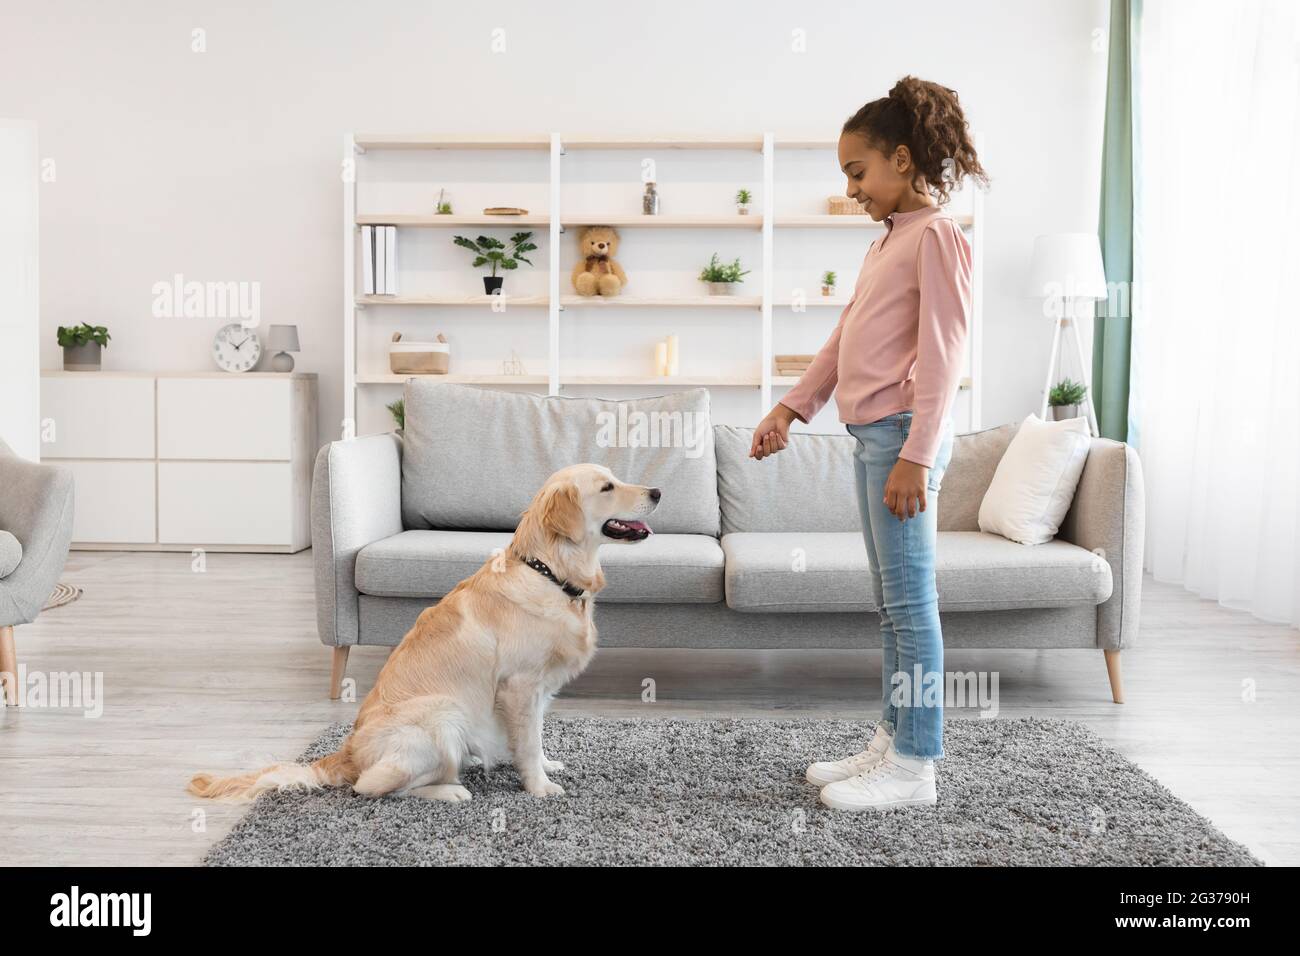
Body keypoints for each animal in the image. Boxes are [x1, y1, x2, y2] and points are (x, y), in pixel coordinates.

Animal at [185, 463, 660, 801]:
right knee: (373, 787)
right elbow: (526, 743)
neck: (547, 571)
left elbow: (536, 736)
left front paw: (547, 765)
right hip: (443, 715)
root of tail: (348, 752)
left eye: (616, 479)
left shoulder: (538, 691)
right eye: (607, 487)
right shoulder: (520, 685)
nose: (657, 492)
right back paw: (450, 790)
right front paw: (539, 787)